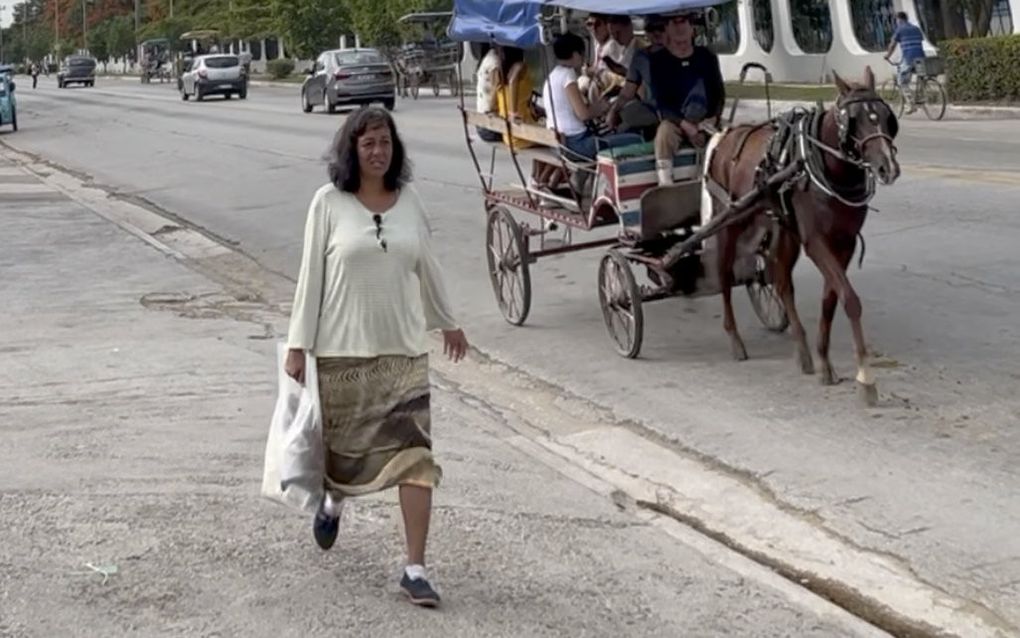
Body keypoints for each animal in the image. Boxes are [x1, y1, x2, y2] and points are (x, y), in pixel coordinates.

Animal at [701, 65, 901, 402]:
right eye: (855, 119)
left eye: (887, 117)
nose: (888, 167)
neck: (826, 166)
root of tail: (726, 135)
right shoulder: (816, 241)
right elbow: (850, 299)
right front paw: (865, 377)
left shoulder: (844, 243)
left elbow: (831, 300)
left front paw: (824, 361)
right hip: (729, 219)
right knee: (725, 274)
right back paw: (735, 339)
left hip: (785, 231)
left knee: (782, 283)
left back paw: (803, 351)